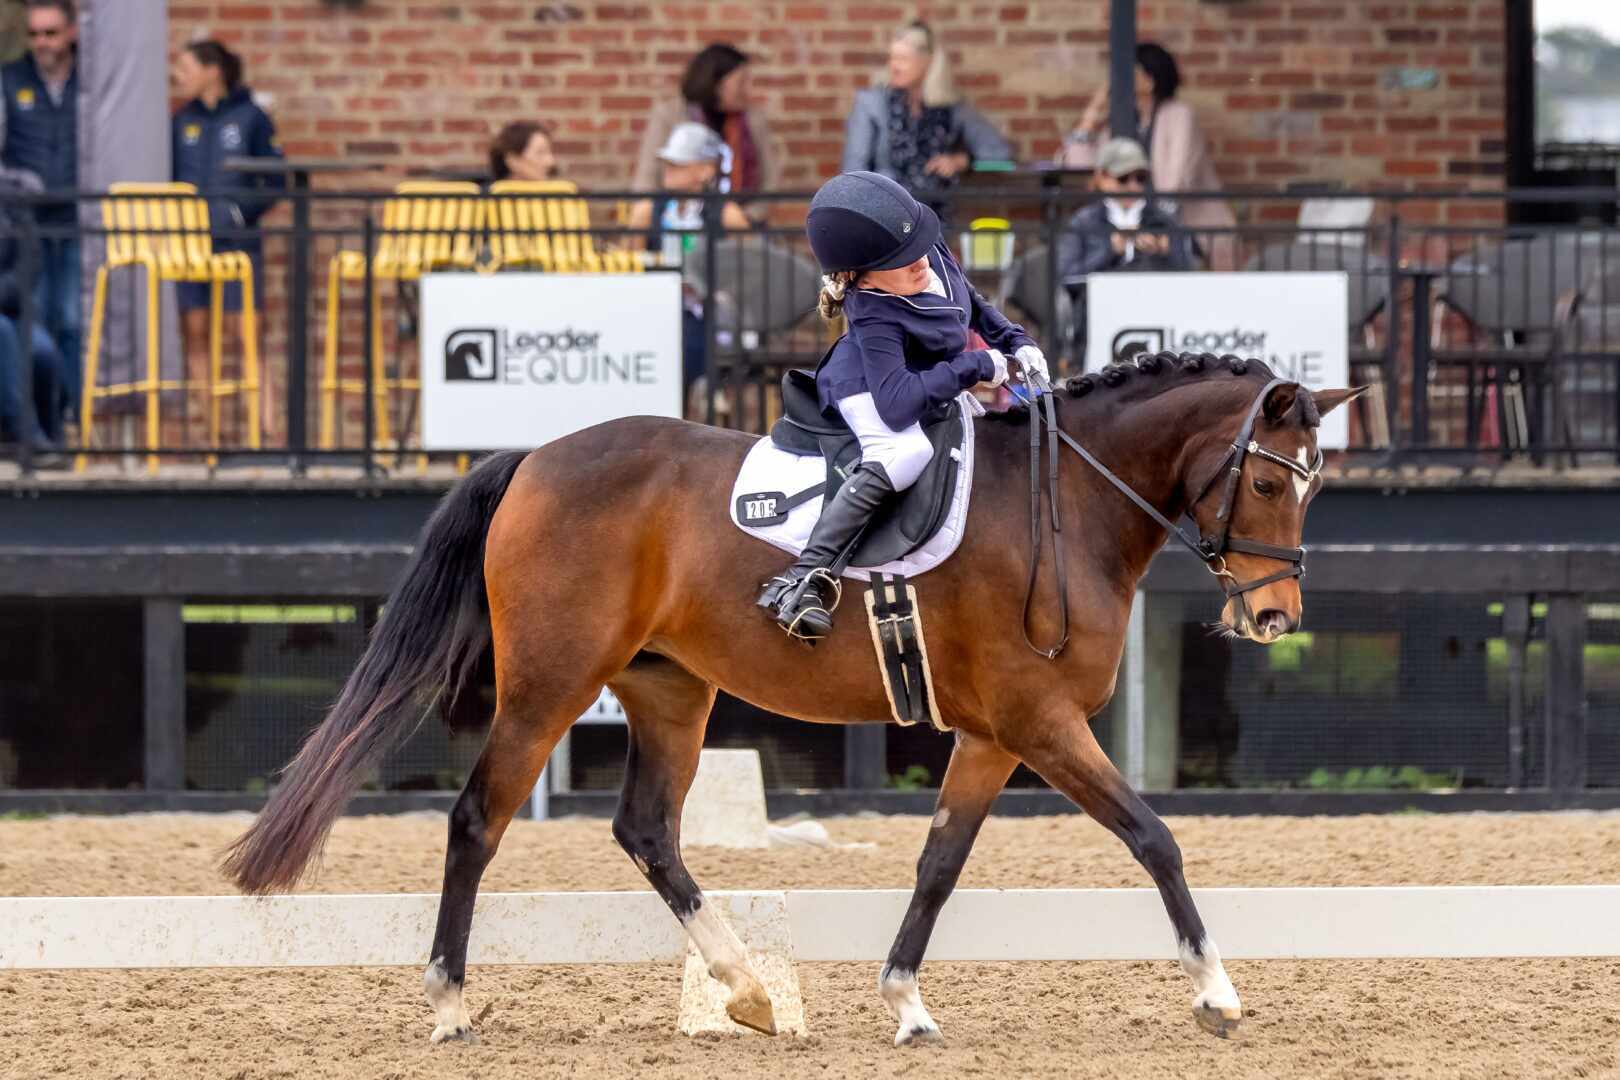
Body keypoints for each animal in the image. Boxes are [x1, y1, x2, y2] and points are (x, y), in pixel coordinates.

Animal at [223, 350, 1360, 1048]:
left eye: (1314, 485)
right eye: (1269, 482)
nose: (1276, 617)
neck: (1066, 503)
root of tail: (539, 456)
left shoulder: (995, 736)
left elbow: (940, 863)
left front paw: (905, 1003)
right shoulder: (1041, 723)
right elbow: (1154, 837)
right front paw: (1216, 992)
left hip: (670, 691)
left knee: (647, 830)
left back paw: (747, 990)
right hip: (551, 686)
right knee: (476, 820)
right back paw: (451, 1005)